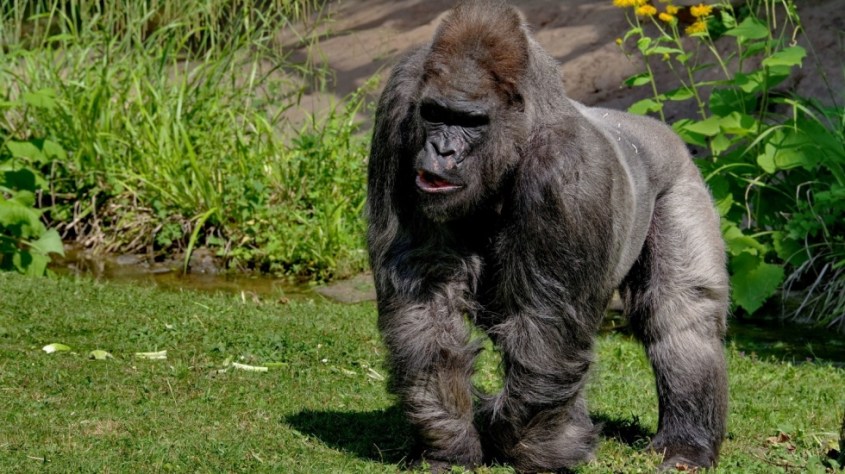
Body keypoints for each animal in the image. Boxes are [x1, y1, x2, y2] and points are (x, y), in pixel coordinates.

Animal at [365, 1, 729, 471]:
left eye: (470, 122)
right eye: (435, 114)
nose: (442, 151)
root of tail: (656, 129)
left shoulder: (567, 172)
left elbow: (546, 332)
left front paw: (534, 446)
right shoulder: (399, 105)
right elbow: (425, 298)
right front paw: (448, 441)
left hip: (681, 179)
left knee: (680, 314)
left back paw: (687, 442)